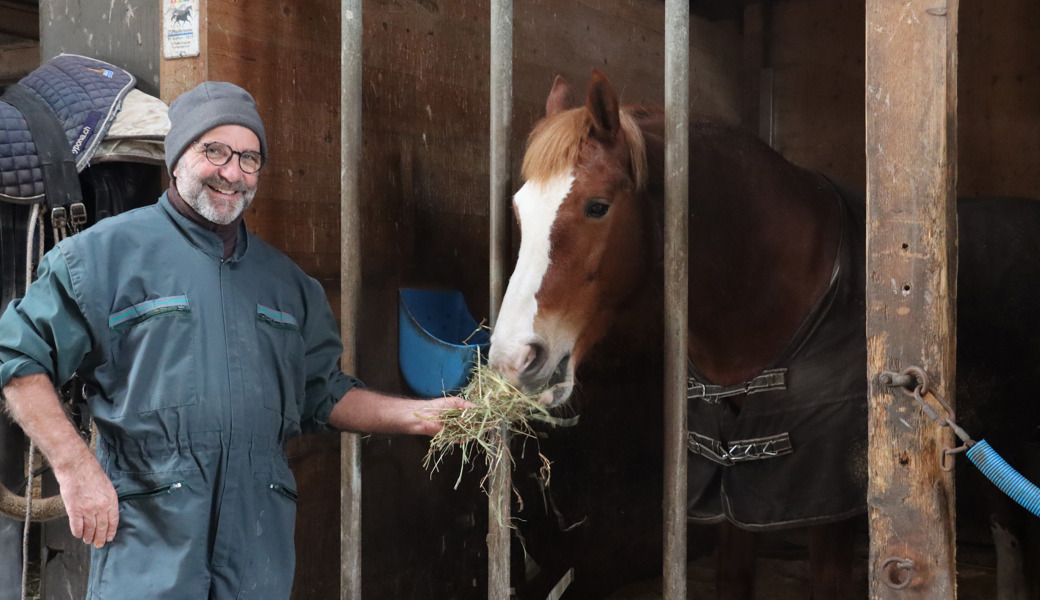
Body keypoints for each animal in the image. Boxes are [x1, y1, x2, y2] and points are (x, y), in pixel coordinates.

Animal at [490, 69, 1040, 594]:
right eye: (517, 208)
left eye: (597, 206)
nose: (514, 360)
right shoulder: (733, 484)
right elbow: (732, 578)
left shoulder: (828, 502)